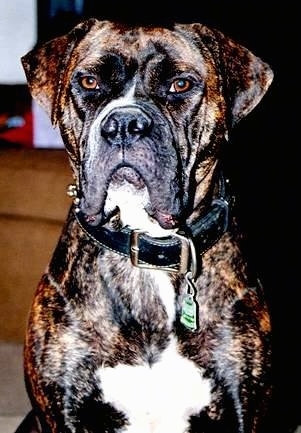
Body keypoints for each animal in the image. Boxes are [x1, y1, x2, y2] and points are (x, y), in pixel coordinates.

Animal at [17, 18, 274, 432]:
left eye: (180, 85)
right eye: (89, 82)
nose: (125, 123)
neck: (147, 245)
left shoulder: (243, 410)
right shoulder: (63, 411)